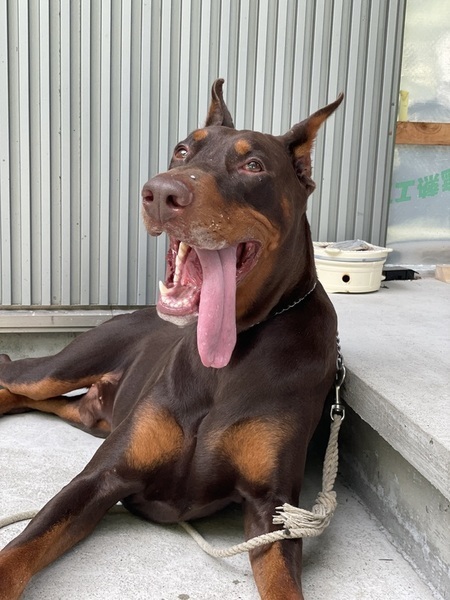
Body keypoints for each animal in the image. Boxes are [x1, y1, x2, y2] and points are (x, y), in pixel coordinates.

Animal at [0, 79, 342, 599]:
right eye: (182, 150)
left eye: (253, 165)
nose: (160, 192)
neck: (228, 355)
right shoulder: (101, 477)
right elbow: (20, 549)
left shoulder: (275, 510)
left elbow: (284, 582)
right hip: (62, 367)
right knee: (16, 378)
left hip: (92, 414)